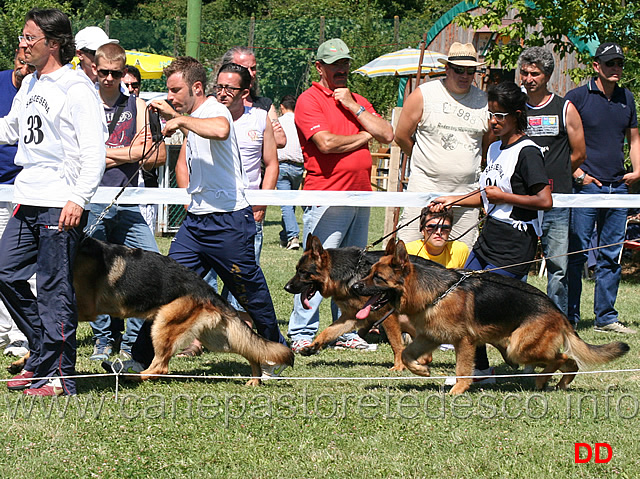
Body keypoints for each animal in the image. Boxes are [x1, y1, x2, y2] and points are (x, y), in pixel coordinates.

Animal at [73, 238, 296, 388]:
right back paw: (255, 380)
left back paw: (130, 377)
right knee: (250, 349)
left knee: (160, 368)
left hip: (163, 325)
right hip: (218, 340)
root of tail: (207, 290)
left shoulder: (84, 308)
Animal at [282, 235, 412, 372]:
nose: (286, 287)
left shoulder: (387, 315)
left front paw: (399, 365)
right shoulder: (351, 317)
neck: (351, 274)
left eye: (303, 272)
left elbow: (395, 342)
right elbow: (329, 330)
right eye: (297, 270)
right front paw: (313, 347)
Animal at [352, 239, 628, 394]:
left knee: (563, 357)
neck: (435, 293)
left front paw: (458, 391)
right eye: (369, 273)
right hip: (515, 350)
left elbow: (463, 369)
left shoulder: (464, 342)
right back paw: (556, 382)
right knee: (567, 360)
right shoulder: (429, 337)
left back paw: (546, 380)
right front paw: (422, 371)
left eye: (377, 278)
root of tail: (558, 312)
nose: (354, 286)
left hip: (518, 348)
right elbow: (408, 355)